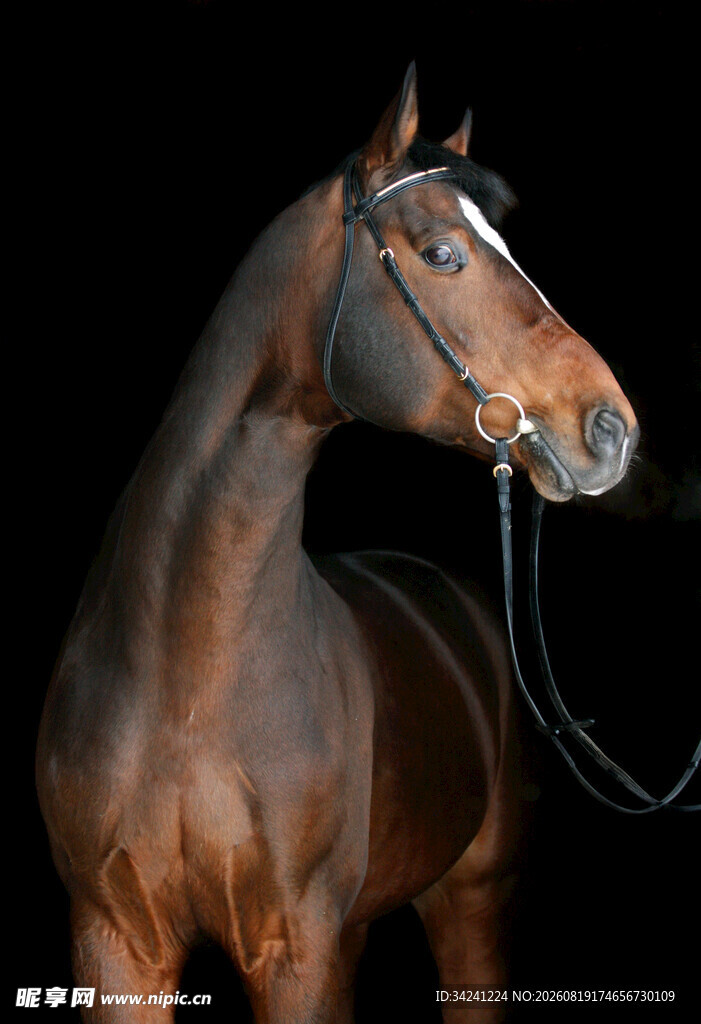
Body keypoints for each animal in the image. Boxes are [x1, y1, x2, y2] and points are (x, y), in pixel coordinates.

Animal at [36, 64, 638, 1023]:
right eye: (442, 253)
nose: (612, 427)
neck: (187, 674)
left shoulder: (296, 951)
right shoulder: (116, 944)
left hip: (471, 905)